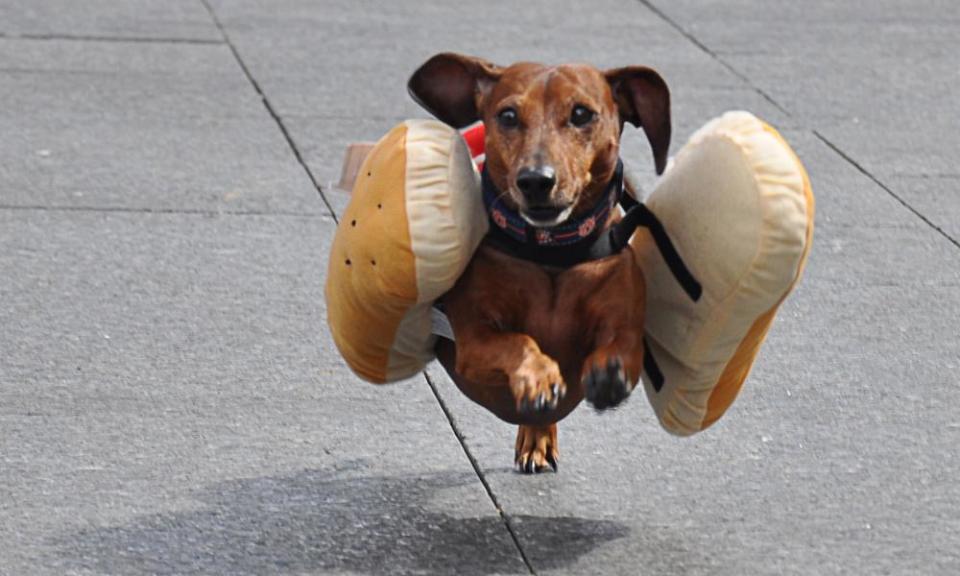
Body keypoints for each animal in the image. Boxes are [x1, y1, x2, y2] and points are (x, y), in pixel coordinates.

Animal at [408, 53, 672, 472]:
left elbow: (623, 346)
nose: (535, 180)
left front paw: (608, 374)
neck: (551, 254)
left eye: (581, 114)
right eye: (508, 115)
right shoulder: (473, 340)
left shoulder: (623, 317)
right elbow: (518, 341)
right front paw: (538, 378)